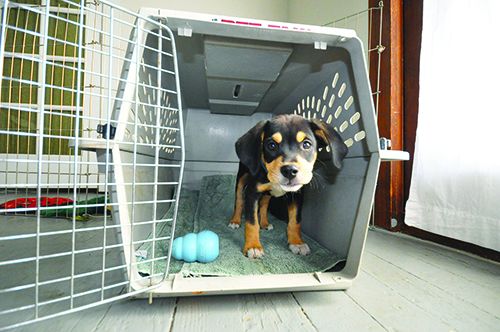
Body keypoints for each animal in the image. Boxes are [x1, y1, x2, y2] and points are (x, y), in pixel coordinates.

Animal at [228, 115, 348, 260]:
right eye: (271, 145)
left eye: (306, 144)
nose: (290, 170)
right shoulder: (252, 193)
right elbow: (251, 222)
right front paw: (253, 246)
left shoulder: (297, 195)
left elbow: (295, 221)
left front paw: (297, 243)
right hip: (241, 178)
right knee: (239, 201)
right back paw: (235, 220)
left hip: (268, 193)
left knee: (264, 204)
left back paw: (265, 223)